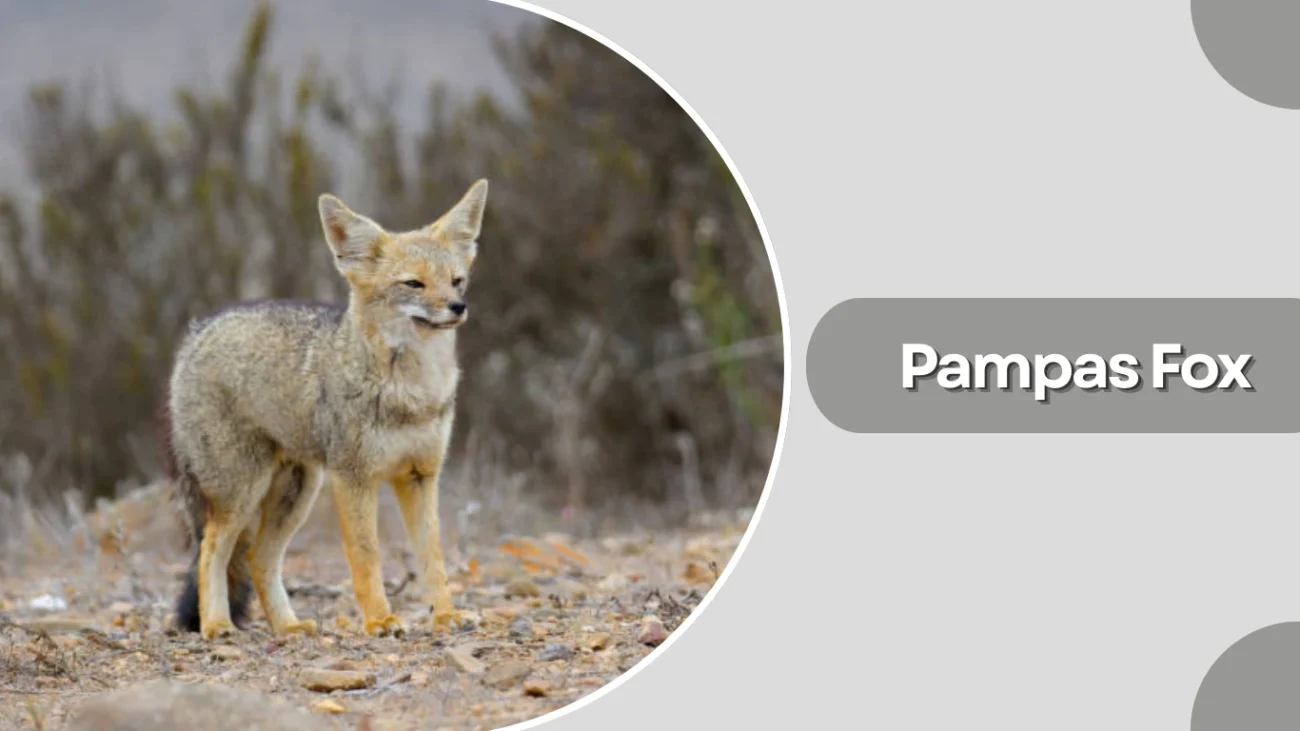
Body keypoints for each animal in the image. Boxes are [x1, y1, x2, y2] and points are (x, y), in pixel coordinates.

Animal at [163, 179, 488, 640]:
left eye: (457, 281)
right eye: (414, 284)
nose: (458, 308)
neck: (411, 393)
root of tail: (198, 330)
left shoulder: (420, 476)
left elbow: (434, 559)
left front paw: (446, 616)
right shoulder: (353, 478)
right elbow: (367, 555)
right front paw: (380, 620)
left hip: (297, 493)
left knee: (259, 558)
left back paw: (288, 627)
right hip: (243, 492)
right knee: (212, 550)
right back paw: (216, 625)